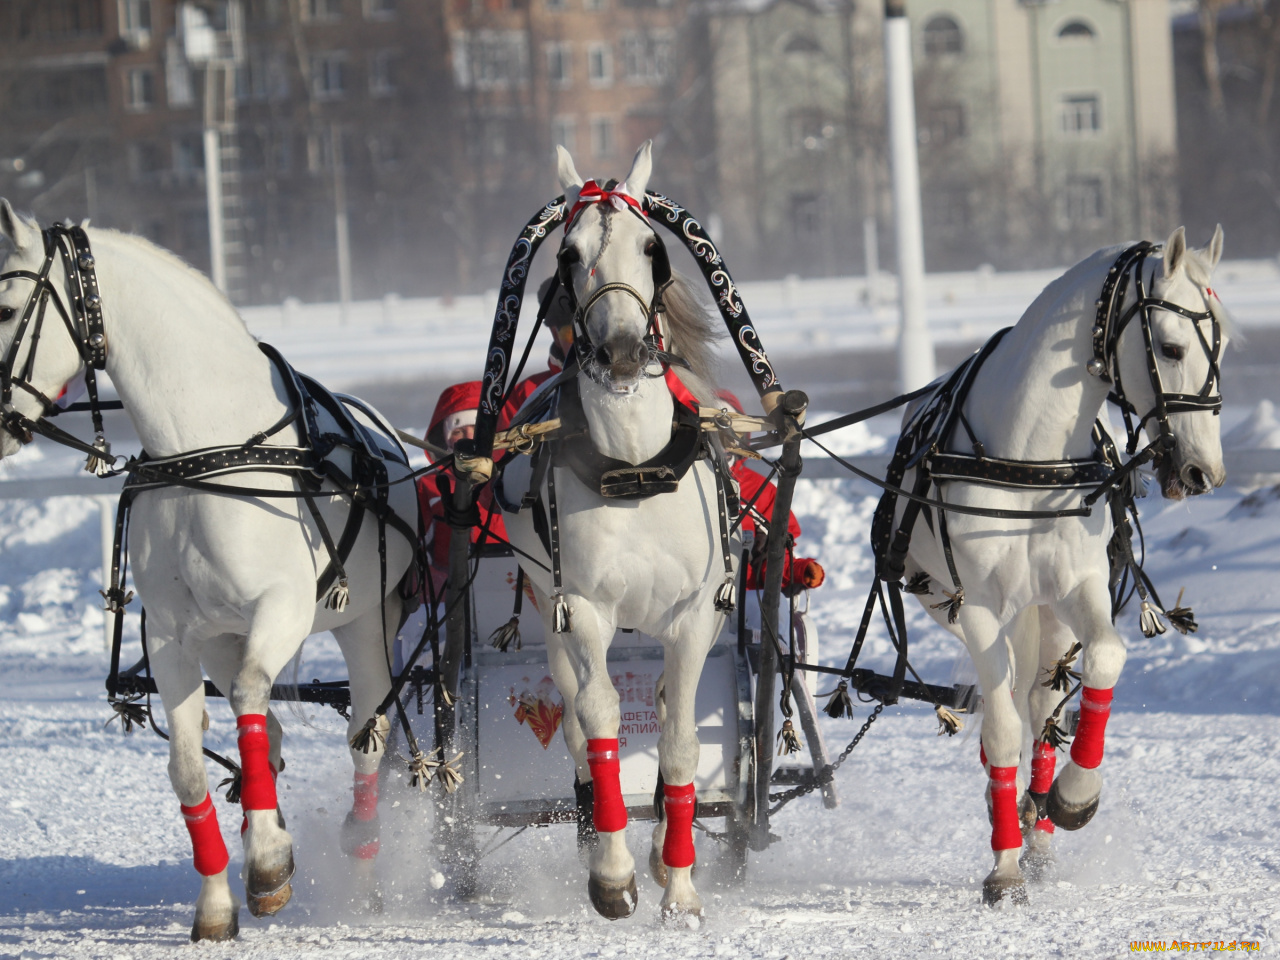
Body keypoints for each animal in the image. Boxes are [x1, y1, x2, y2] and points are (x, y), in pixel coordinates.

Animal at [0, 200, 414, 942]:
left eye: (7, 305)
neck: (204, 454)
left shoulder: (283, 608)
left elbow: (250, 698)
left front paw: (271, 860)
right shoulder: (172, 634)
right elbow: (190, 767)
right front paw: (222, 898)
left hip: (367, 624)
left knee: (365, 736)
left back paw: (360, 863)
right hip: (224, 636)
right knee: (269, 735)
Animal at [501, 144, 737, 926]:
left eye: (651, 248)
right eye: (569, 254)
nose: (626, 353)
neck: (634, 467)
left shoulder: (694, 617)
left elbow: (682, 740)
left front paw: (681, 887)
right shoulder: (583, 610)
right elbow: (600, 718)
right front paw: (612, 875)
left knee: (663, 707)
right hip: (548, 612)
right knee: (577, 720)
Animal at [890, 229, 1228, 906]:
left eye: (1223, 345)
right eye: (1172, 347)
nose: (1206, 471)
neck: (1030, 456)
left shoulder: (1079, 587)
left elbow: (1104, 659)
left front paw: (1074, 795)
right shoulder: (978, 609)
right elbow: (1000, 730)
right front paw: (1003, 868)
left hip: (1047, 615)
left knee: (1043, 700)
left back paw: (1039, 819)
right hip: (955, 608)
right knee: (1014, 704)